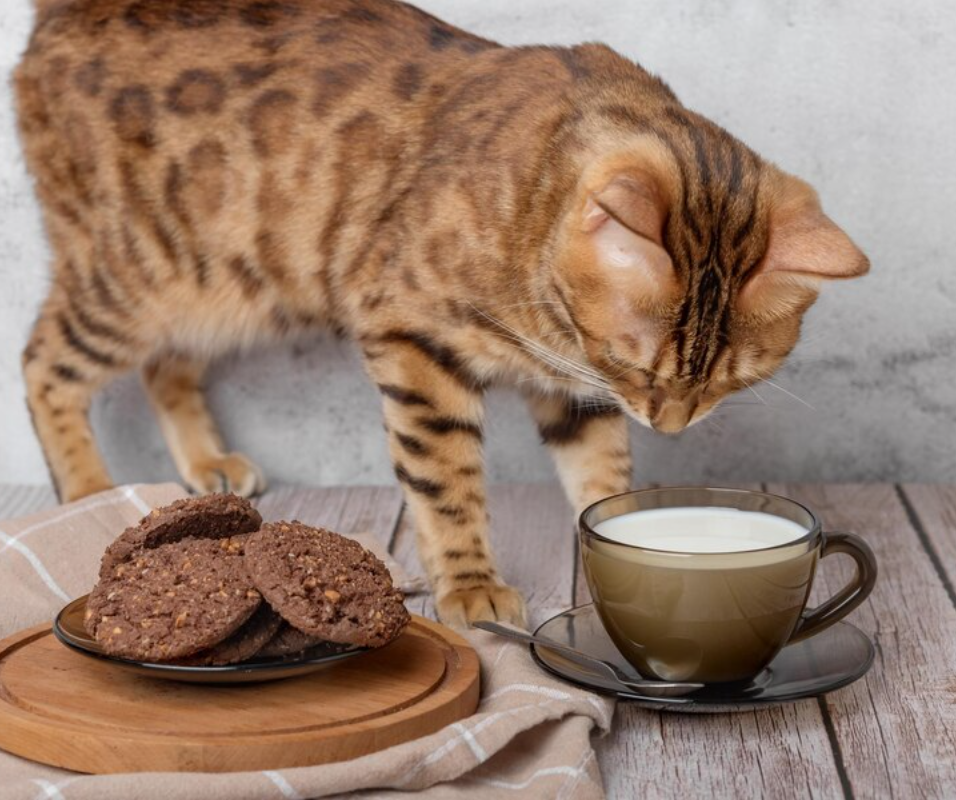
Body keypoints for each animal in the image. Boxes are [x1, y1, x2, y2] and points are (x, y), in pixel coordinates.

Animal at [14, 0, 872, 624]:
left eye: (727, 382)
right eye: (635, 362)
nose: (670, 423)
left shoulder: (575, 389)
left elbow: (601, 469)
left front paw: (622, 525)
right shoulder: (414, 339)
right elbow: (444, 478)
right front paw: (469, 584)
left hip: (220, 289)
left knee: (165, 363)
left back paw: (206, 464)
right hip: (134, 275)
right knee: (43, 363)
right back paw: (90, 494)